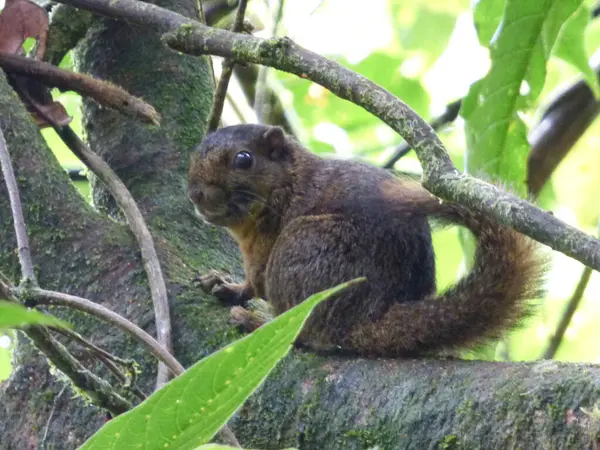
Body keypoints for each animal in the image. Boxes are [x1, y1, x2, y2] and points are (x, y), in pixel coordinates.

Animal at [189, 123, 548, 356]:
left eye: (243, 159)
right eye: (196, 154)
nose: (196, 193)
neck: (287, 185)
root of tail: (367, 320)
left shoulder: (265, 245)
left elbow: (254, 283)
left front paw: (234, 290)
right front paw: (218, 281)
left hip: (302, 244)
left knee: (306, 333)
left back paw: (254, 322)